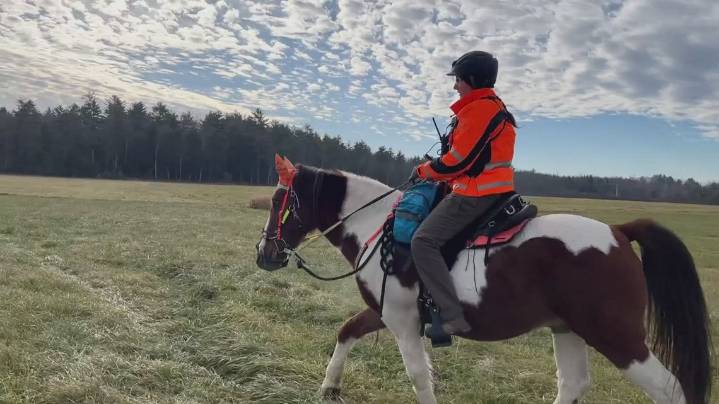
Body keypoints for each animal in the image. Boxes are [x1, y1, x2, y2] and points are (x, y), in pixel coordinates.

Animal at [256, 154, 712, 404]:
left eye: (280, 200)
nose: (264, 253)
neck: (379, 226)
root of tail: (618, 231)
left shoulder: (403, 322)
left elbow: (418, 375)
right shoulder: (385, 312)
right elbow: (346, 331)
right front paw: (329, 387)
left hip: (617, 337)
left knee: (669, 388)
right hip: (568, 330)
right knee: (572, 385)